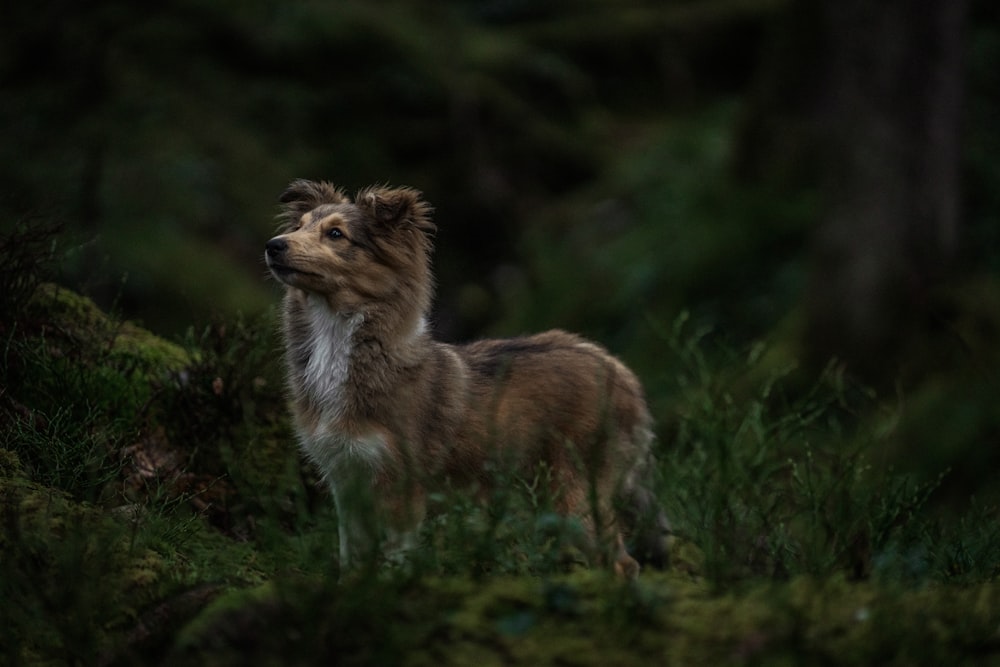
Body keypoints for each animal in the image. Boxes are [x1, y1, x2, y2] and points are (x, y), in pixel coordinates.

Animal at [266, 180, 672, 576]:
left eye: (336, 233)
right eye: (298, 226)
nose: (273, 246)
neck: (341, 347)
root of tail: (621, 372)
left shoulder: (400, 488)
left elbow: (395, 562)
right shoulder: (348, 484)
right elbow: (352, 561)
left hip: (575, 496)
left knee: (623, 563)